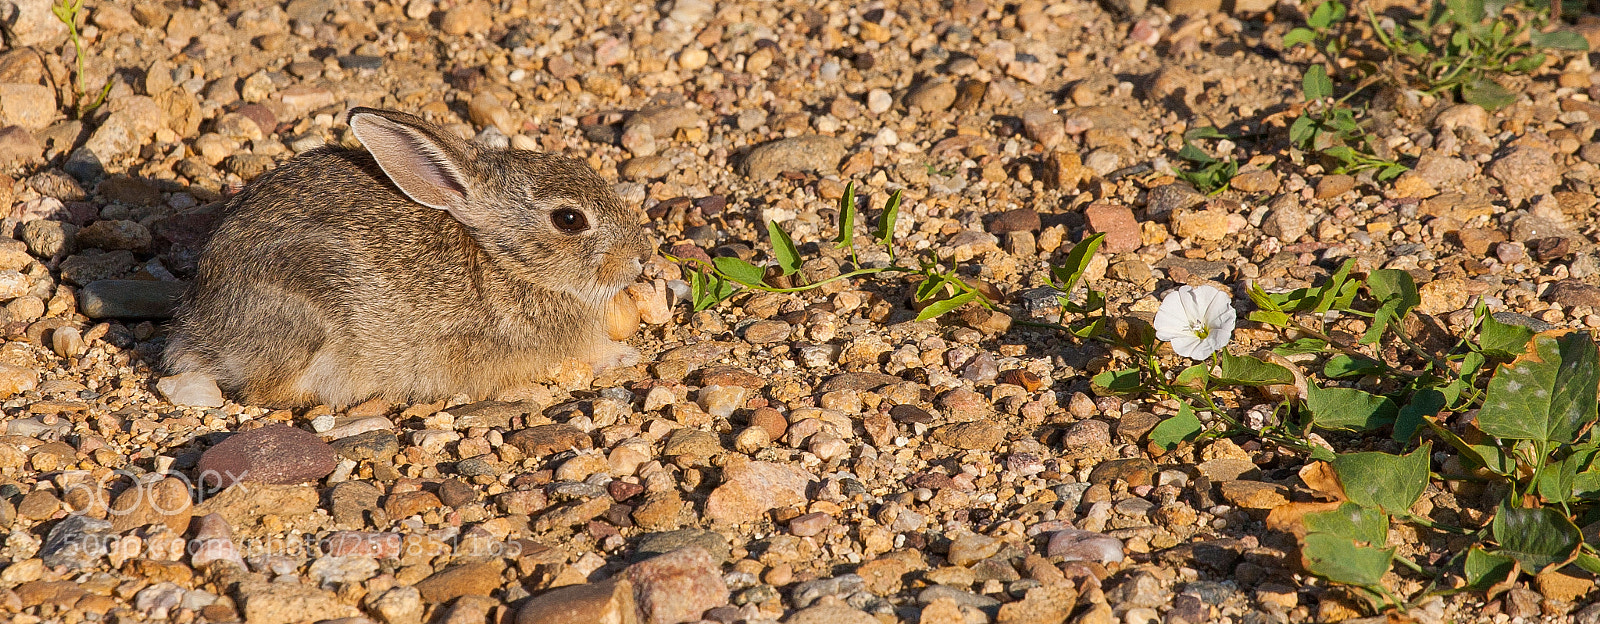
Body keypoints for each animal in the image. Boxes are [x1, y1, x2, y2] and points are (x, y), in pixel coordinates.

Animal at [163, 107, 654, 407]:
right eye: (569, 219)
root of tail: (201, 330)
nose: (641, 257)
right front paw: (624, 356)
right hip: (307, 320)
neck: (502, 259)